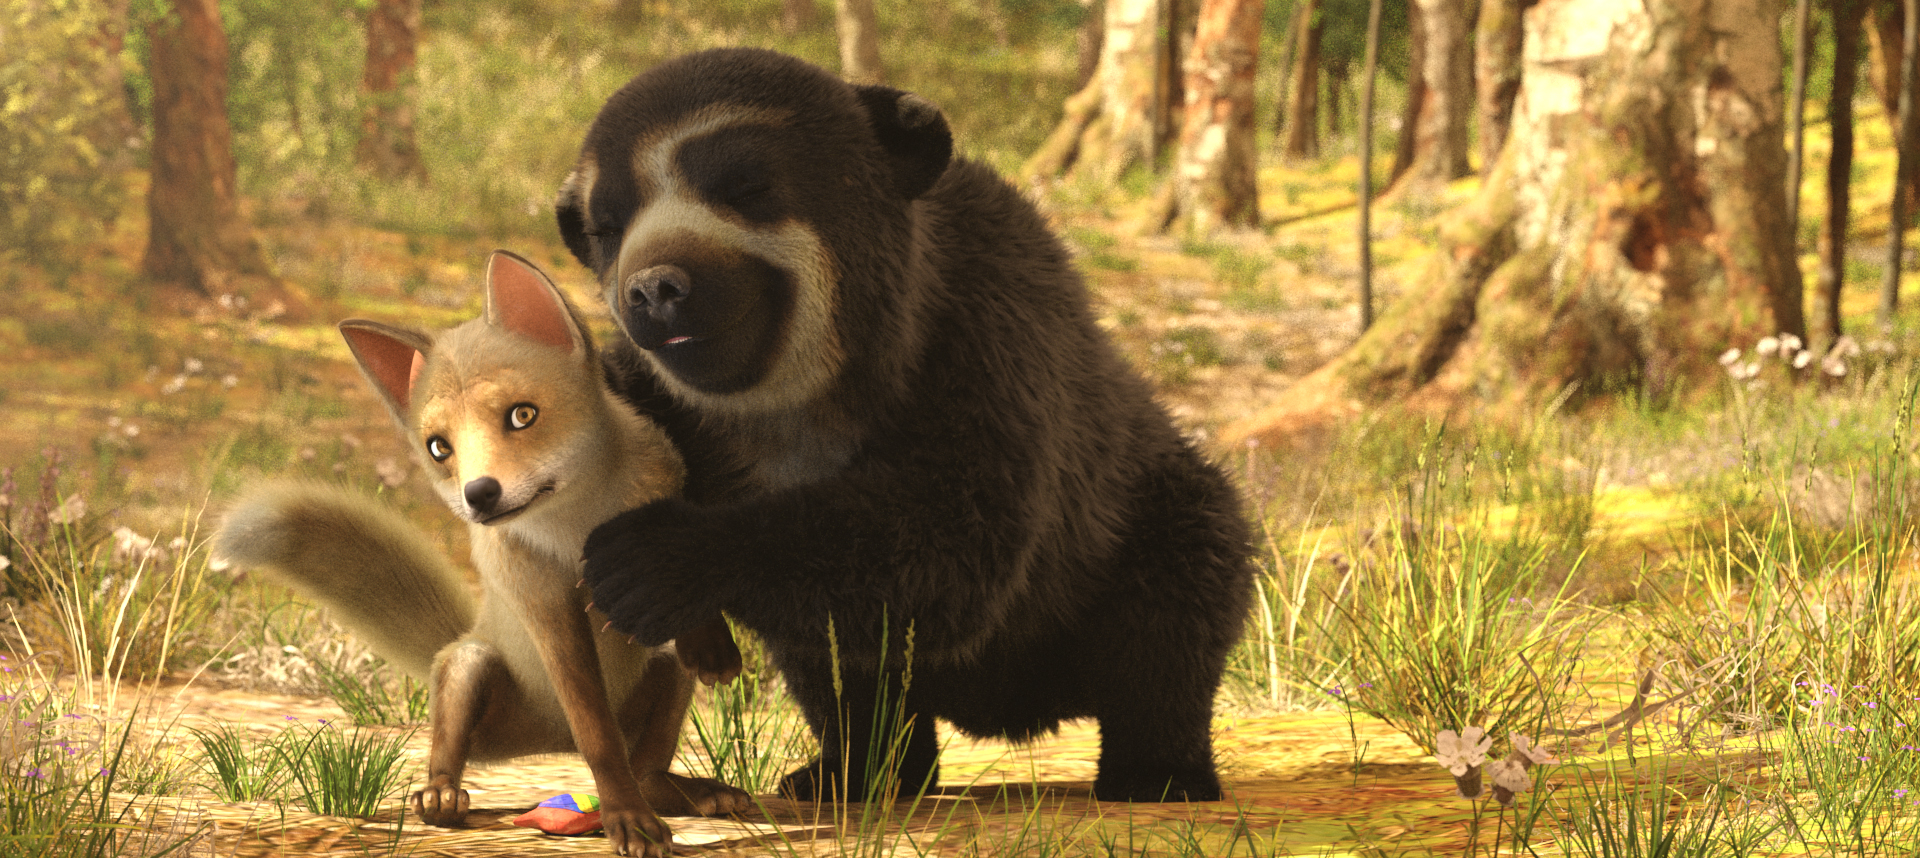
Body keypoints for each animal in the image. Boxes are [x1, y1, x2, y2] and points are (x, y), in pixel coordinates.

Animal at [556, 47, 1255, 803]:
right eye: (606, 227)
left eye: (747, 186)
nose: (657, 287)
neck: (801, 405)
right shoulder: (662, 400)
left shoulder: (987, 332)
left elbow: (954, 537)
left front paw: (647, 559)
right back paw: (855, 772)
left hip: (1131, 524)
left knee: (1176, 604)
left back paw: (1158, 772)